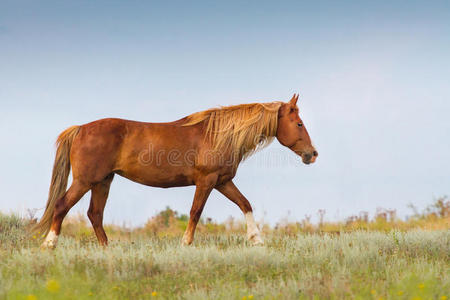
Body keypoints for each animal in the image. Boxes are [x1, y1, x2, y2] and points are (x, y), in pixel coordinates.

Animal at [34, 94, 316, 248]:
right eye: (299, 124)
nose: (312, 154)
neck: (218, 135)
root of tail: (81, 128)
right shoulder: (207, 181)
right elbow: (195, 212)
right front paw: (185, 243)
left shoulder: (223, 181)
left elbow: (245, 204)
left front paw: (256, 239)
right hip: (85, 181)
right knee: (62, 206)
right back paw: (49, 244)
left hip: (103, 181)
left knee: (95, 214)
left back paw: (107, 250)